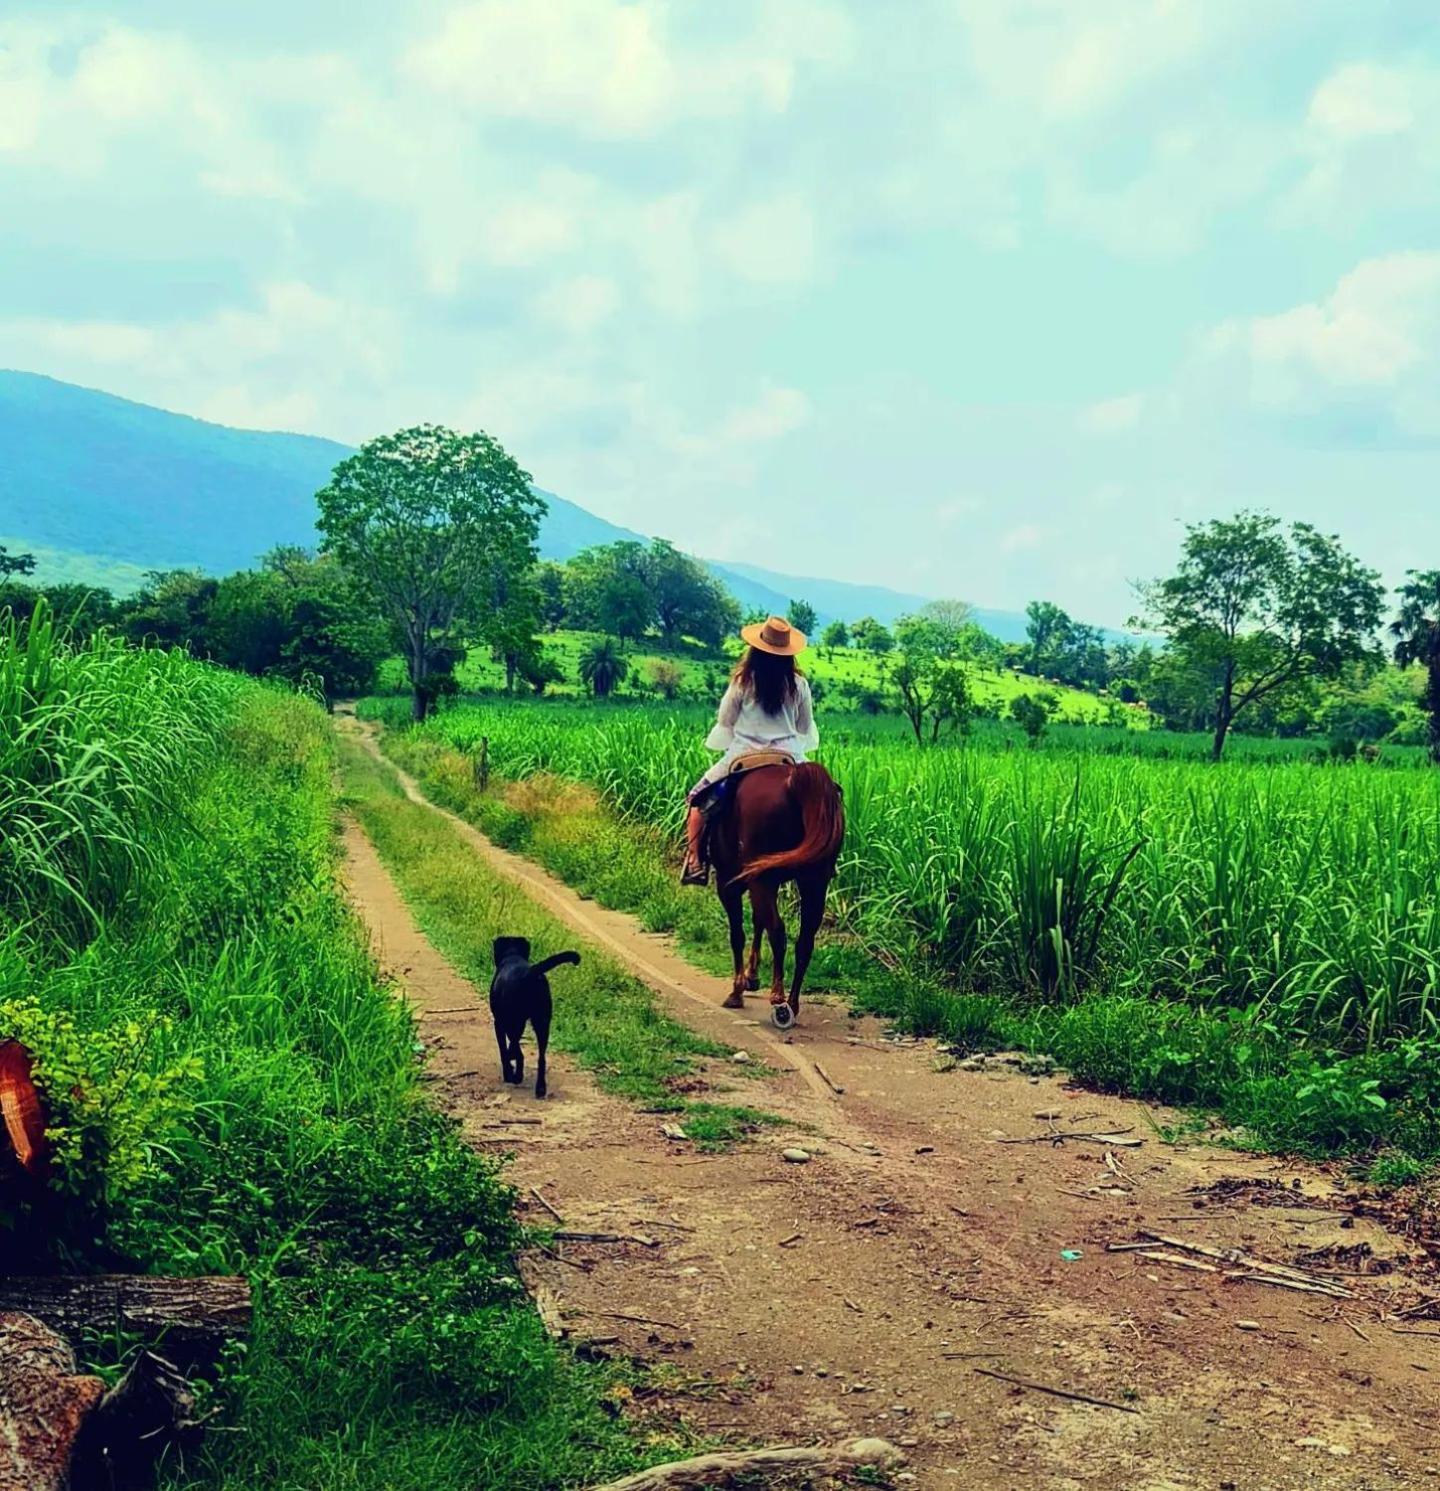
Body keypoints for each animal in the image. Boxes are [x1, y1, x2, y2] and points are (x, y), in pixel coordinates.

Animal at [488, 936, 581, 1103]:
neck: (513, 956)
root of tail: (530, 973)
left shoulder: (499, 1022)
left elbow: (504, 1048)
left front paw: (508, 1072)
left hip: (515, 1019)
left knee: (517, 1051)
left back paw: (516, 1076)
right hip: (542, 1022)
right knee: (541, 1058)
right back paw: (540, 1089)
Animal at [709, 763, 846, 1019]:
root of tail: (795, 779)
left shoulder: (729, 881)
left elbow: (737, 934)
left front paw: (737, 990)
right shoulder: (760, 881)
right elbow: (757, 919)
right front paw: (752, 977)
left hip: (763, 876)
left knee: (778, 931)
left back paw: (778, 999)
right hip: (815, 879)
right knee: (804, 939)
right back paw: (791, 1003)